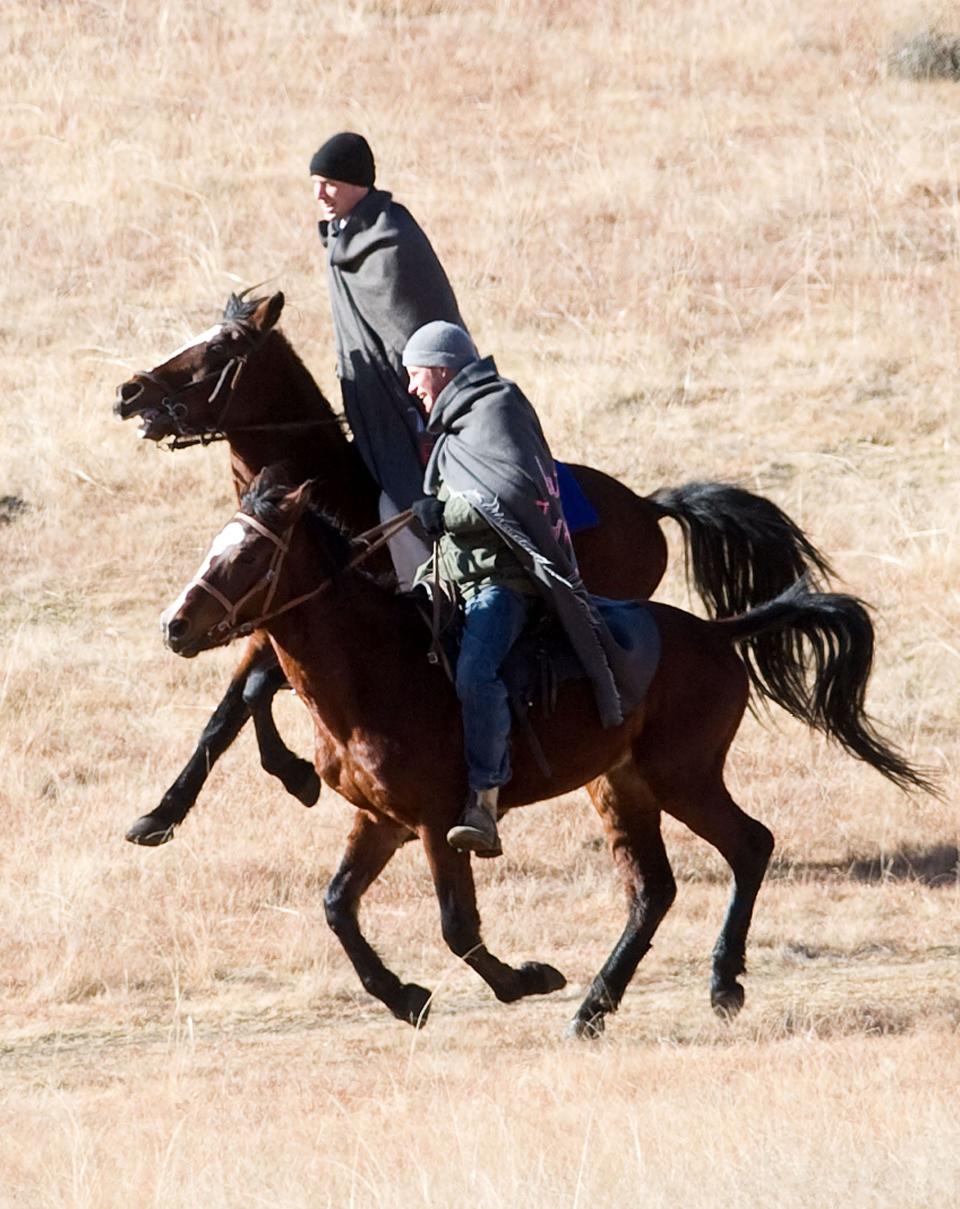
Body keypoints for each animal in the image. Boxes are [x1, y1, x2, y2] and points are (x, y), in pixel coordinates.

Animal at [114, 287, 831, 846]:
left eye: (218, 352)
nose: (130, 391)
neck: (331, 491)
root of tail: (648, 508)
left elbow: (248, 697)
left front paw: (288, 778)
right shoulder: (263, 618)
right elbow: (230, 708)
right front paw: (163, 813)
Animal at [157, 471, 928, 1039]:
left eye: (248, 556)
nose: (176, 625)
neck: (377, 672)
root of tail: (717, 633)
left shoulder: (438, 822)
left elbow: (456, 926)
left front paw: (524, 979)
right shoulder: (380, 821)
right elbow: (338, 907)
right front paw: (407, 998)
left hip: (682, 777)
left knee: (750, 845)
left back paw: (720, 982)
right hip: (620, 785)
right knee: (653, 890)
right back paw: (593, 1008)